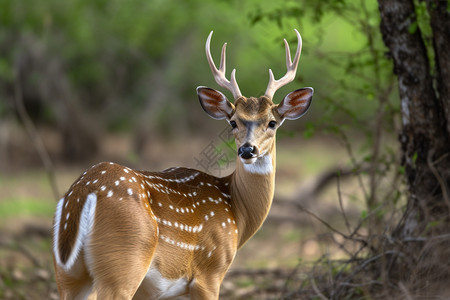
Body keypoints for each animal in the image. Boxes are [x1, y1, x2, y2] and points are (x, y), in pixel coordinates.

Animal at [51, 28, 312, 300]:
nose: (247, 149)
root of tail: (84, 192)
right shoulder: (209, 272)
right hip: (124, 261)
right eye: (233, 122)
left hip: (67, 274)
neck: (237, 212)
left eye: (272, 122)